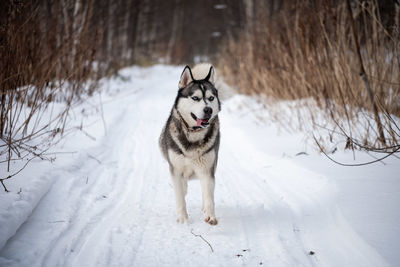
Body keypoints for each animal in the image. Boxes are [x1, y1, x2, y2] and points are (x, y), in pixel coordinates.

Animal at [159, 63, 222, 225]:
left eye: (211, 98)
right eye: (195, 98)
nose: (208, 109)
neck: (194, 134)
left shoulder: (207, 170)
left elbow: (209, 196)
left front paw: (210, 215)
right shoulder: (176, 170)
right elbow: (180, 196)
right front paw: (183, 219)